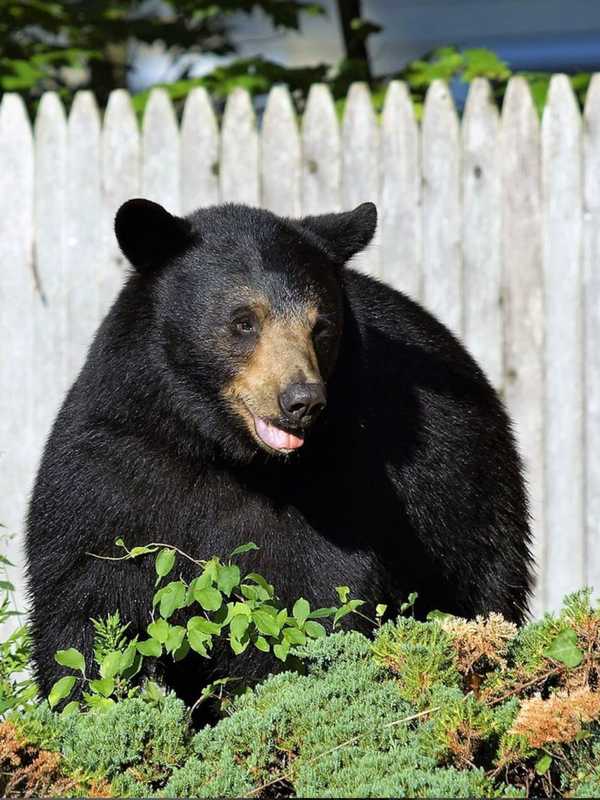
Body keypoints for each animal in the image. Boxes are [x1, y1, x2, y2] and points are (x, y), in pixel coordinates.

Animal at [25, 202, 532, 708]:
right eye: (244, 321)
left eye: (321, 327)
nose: (303, 401)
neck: (221, 449)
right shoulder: (114, 467)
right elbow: (86, 602)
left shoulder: (340, 485)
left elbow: (312, 599)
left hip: (466, 493)